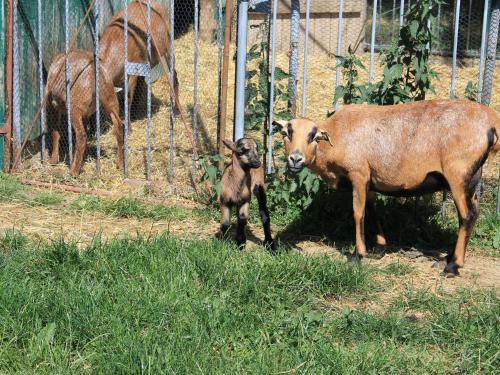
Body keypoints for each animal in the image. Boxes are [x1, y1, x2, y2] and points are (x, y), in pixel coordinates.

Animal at [46, 49, 123, 177]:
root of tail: (94, 71)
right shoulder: (86, 112)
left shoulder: (53, 105)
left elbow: (55, 131)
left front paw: (53, 160)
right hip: (110, 99)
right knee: (119, 126)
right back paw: (119, 163)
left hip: (74, 107)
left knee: (81, 135)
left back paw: (74, 171)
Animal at [276, 100, 498, 276]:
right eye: (286, 133)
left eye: (313, 136)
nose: (295, 159)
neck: (336, 139)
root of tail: (492, 124)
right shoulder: (370, 181)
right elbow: (372, 212)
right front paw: (380, 248)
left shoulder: (359, 173)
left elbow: (358, 213)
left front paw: (358, 255)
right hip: (472, 178)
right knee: (474, 213)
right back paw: (447, 258)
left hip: (457, 174)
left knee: (466, 216)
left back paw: (453, 266)